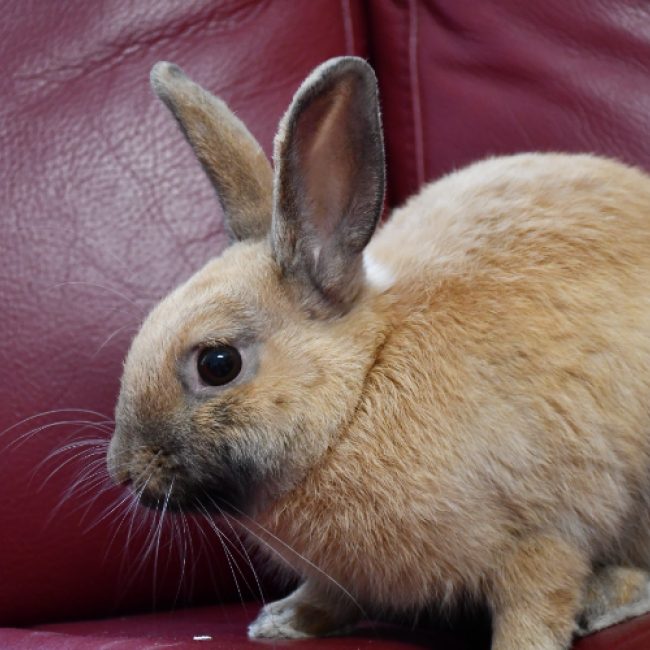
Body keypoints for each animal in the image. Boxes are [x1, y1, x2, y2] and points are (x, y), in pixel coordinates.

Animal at [107, 56, 650, 650]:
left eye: (218, 364)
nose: (123, 470)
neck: (360, 391)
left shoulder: (545, 533)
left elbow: (535, 604)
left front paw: (523, 645)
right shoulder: (339, 576)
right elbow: (329, 597)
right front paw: (283, 622)